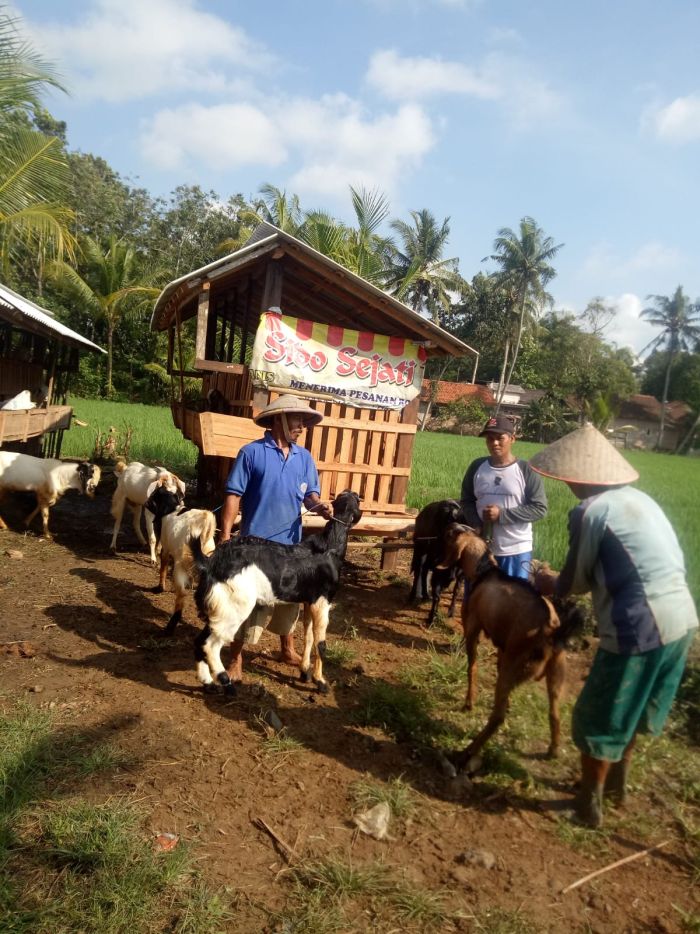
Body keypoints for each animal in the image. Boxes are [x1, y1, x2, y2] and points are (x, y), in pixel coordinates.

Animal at [143, 482, 216, 636]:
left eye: (154, 495)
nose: (146, 503)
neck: (172, 508)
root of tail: (204, 529)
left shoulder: (166, 549)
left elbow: (163, 569)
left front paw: (159, 588)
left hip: (180, 568)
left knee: (181, 597)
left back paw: (169, 628)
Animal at [191, 490, 364, 696]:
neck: (330, 545)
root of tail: (211, 563)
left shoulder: (309, 601)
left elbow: (308, 636)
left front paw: (304, 673)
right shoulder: (322, 601)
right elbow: (320, 643)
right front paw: (320, 682)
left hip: (218, 608)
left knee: (200, 641)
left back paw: (208, 683)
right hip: (234, 608)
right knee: (211, 646)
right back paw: (227, 682)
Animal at [440, 524, 568, 772]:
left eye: (451, 535)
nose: (448, 526)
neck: (486, 571)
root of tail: (549, 629)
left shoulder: (473, 628)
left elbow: (472, 666)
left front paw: (469, 702)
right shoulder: (502, 647)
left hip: (514, 664)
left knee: (499, 715)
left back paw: (466, 753)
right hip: (556, 671)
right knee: (555, 712)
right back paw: (553, 750)